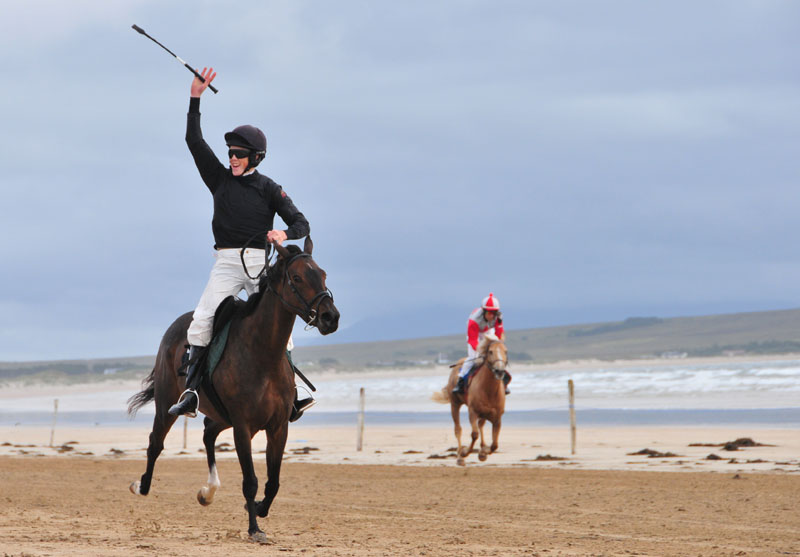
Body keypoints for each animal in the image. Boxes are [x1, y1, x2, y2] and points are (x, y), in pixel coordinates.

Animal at [127, 238, 338, 544]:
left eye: (322, 274)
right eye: (297, 278)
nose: (330, 317)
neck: (263, 354)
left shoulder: (278, 427)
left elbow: (273, 482)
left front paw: (259, 509)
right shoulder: (242, 426)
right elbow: (250, 481)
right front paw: (254, 528)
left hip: (221, 415)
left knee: (208, 432)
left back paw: (208, 491)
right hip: (167, 404)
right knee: (156, 442)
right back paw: (141, 486)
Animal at [434, 334, 510, 464]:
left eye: (505, 351)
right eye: (490, 351)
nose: (499, 371)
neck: (489, 390)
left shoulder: (497, 418)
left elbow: (494, 445)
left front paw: (483, 452)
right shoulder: (473, 412)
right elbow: (474, 434)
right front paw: (465, 452)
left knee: (481, 425)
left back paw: (482, 447)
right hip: (455, 404)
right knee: (458, 429)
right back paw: (459, 457)